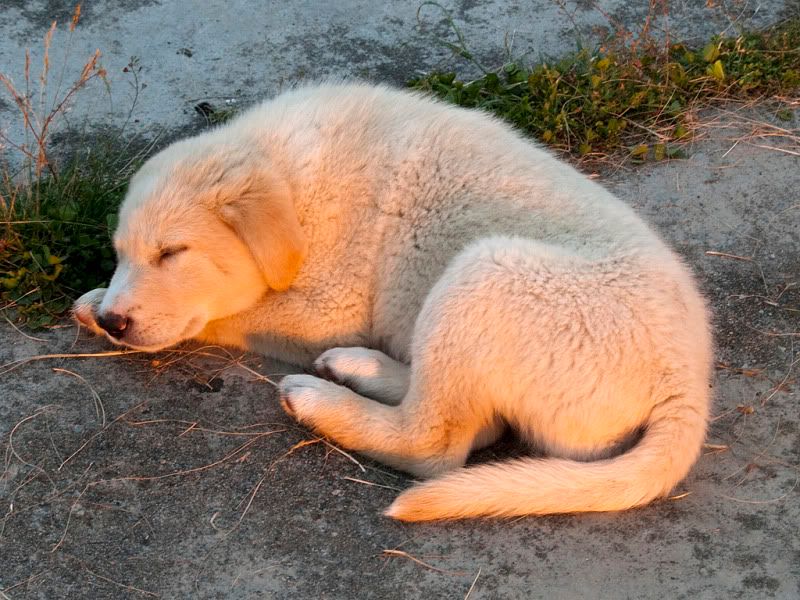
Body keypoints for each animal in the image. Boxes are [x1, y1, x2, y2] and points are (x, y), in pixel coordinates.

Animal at [75, 83, 712, 520]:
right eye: (121, 252)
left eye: (171, 253)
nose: (115, 320)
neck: (293, 185)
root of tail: (688, 381)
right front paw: (95, 303)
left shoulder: (327, 305)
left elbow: (231, 315)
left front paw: (99, 307)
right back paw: (359, 366)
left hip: (487, 274)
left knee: (439, 443)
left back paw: (322, 401)